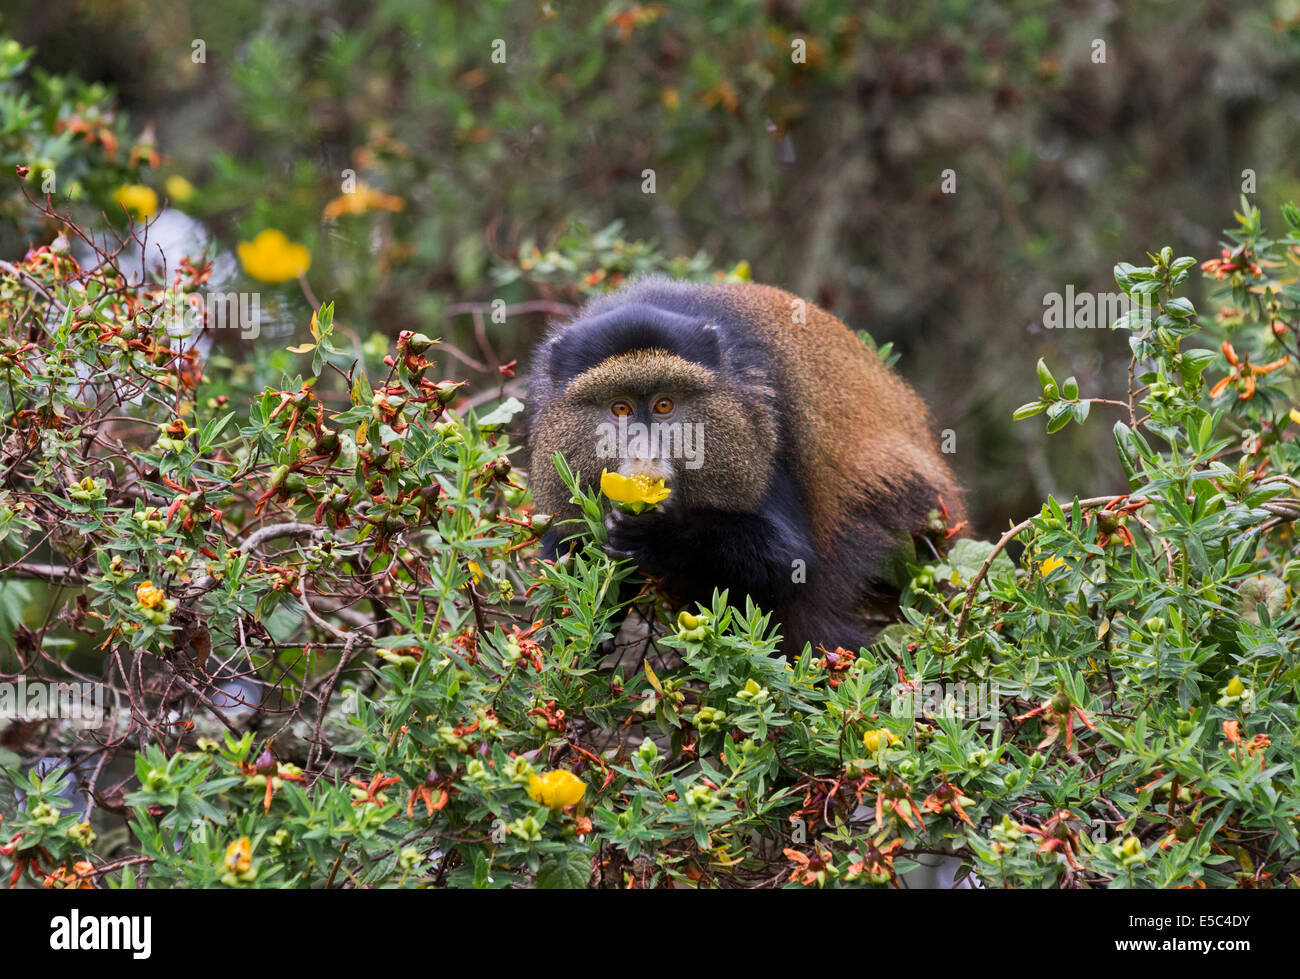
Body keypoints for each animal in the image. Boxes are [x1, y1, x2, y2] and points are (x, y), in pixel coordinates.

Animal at [526, 277, 964, 656]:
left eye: (664, 405)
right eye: (620, 409)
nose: (645, 454)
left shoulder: (765, 410)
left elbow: (788, 558)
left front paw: (660, 536)